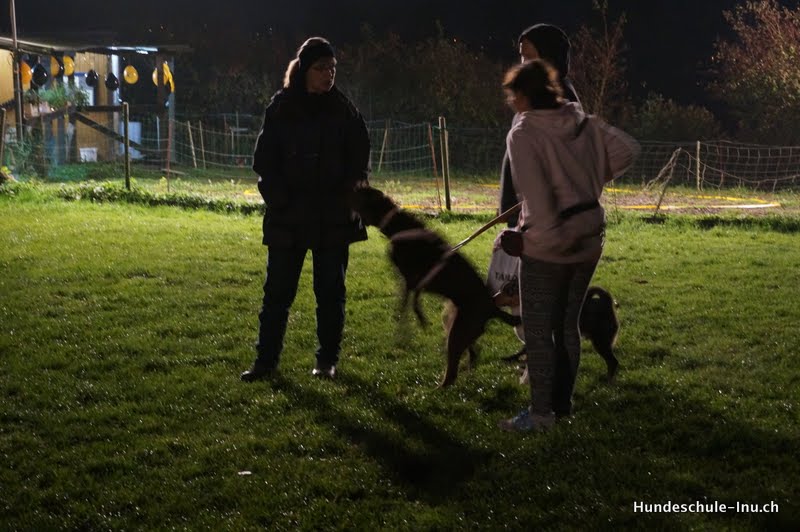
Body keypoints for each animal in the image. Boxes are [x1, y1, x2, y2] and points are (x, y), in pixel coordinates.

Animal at [349, 186, 522, 386]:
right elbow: (409, 300)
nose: (349, 187)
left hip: (457, 332)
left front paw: (415, 321)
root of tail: (493, 308)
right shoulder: (413, 281)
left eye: (361, 191)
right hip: (456, 323)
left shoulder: (413, 279)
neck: (398, 225)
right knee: (471, 353)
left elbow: (410, 300)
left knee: (452, 373)